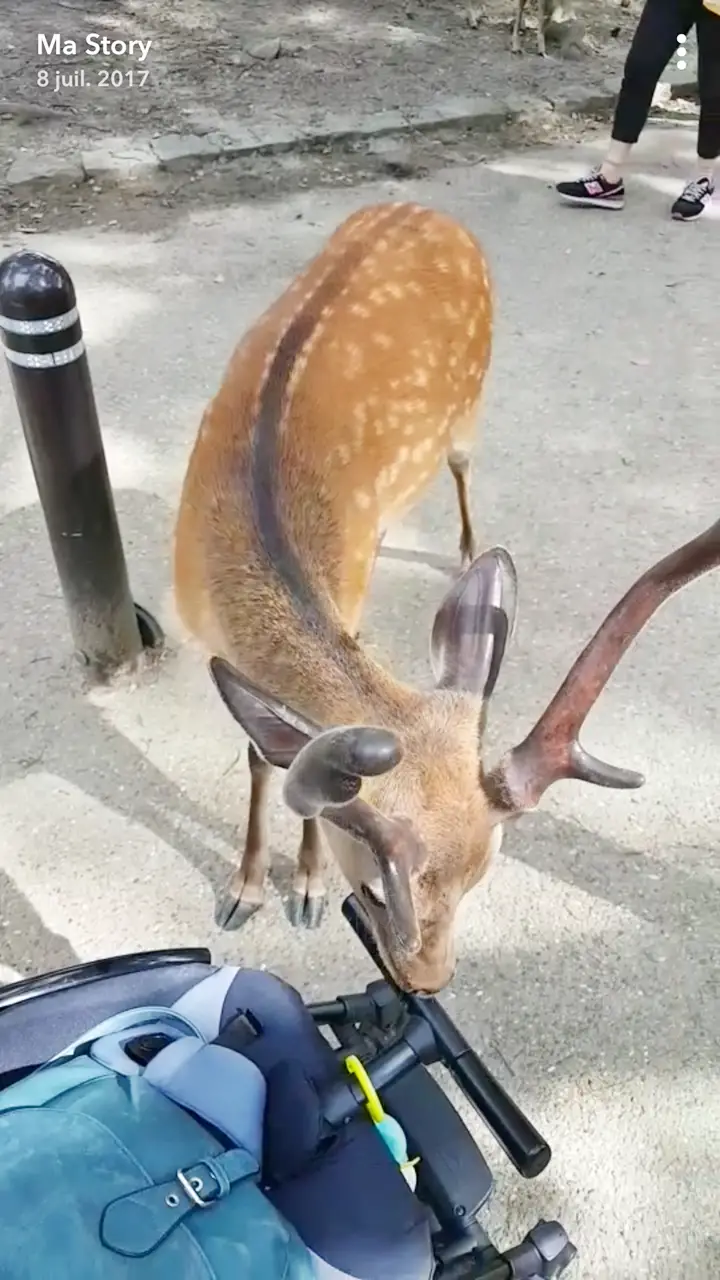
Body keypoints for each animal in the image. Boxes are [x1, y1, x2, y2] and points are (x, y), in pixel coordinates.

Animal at [174, 202, 717, 998]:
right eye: (374, 888)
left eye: (479, 879)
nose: (428, 983)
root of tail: (426, 210)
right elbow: (258, 756)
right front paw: (244, 891)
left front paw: (301, 888)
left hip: (470, 407)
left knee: (463, 466)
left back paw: (466, 546)